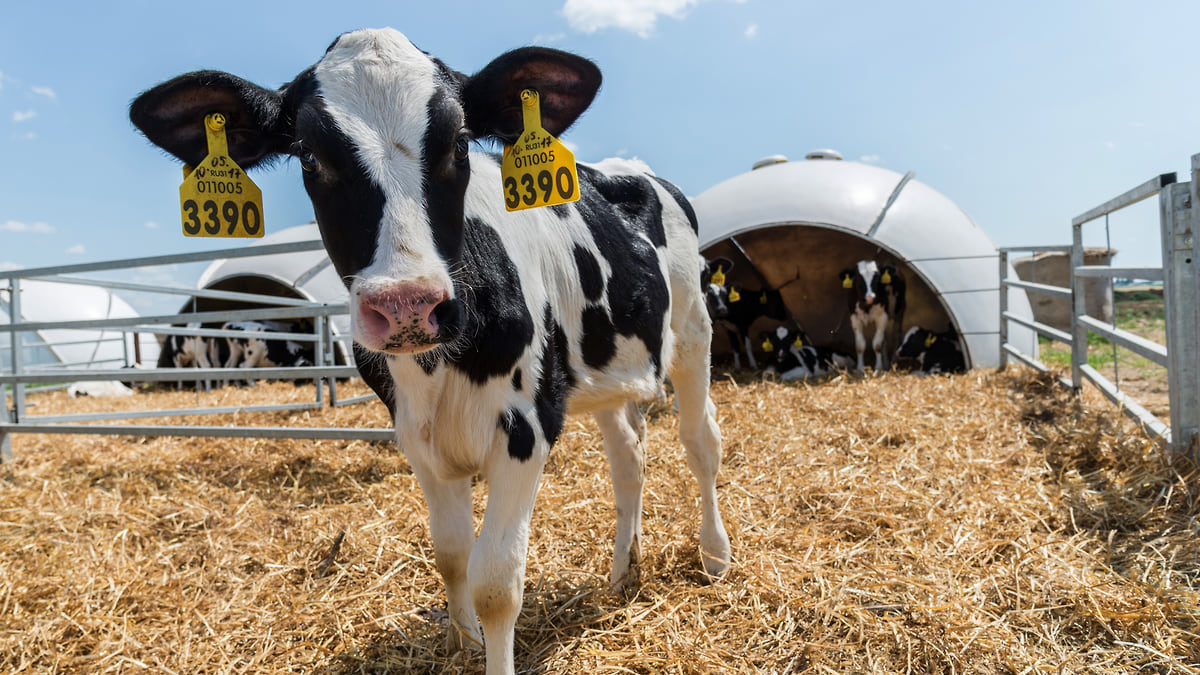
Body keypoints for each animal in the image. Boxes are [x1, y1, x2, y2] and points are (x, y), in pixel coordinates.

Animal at [131, 28, 729, 672]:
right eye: (309, 157)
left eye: (460, 143)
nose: (407, 304)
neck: (436, 366)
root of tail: (631, 171)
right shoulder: (416, 435)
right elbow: (451, 553)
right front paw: (461, 643)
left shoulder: (527, 425)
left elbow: (496, 582)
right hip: (606, 372)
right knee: (628, 456)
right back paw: (623, 575)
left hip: (693, 330)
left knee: (700, 442)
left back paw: (715, 556)